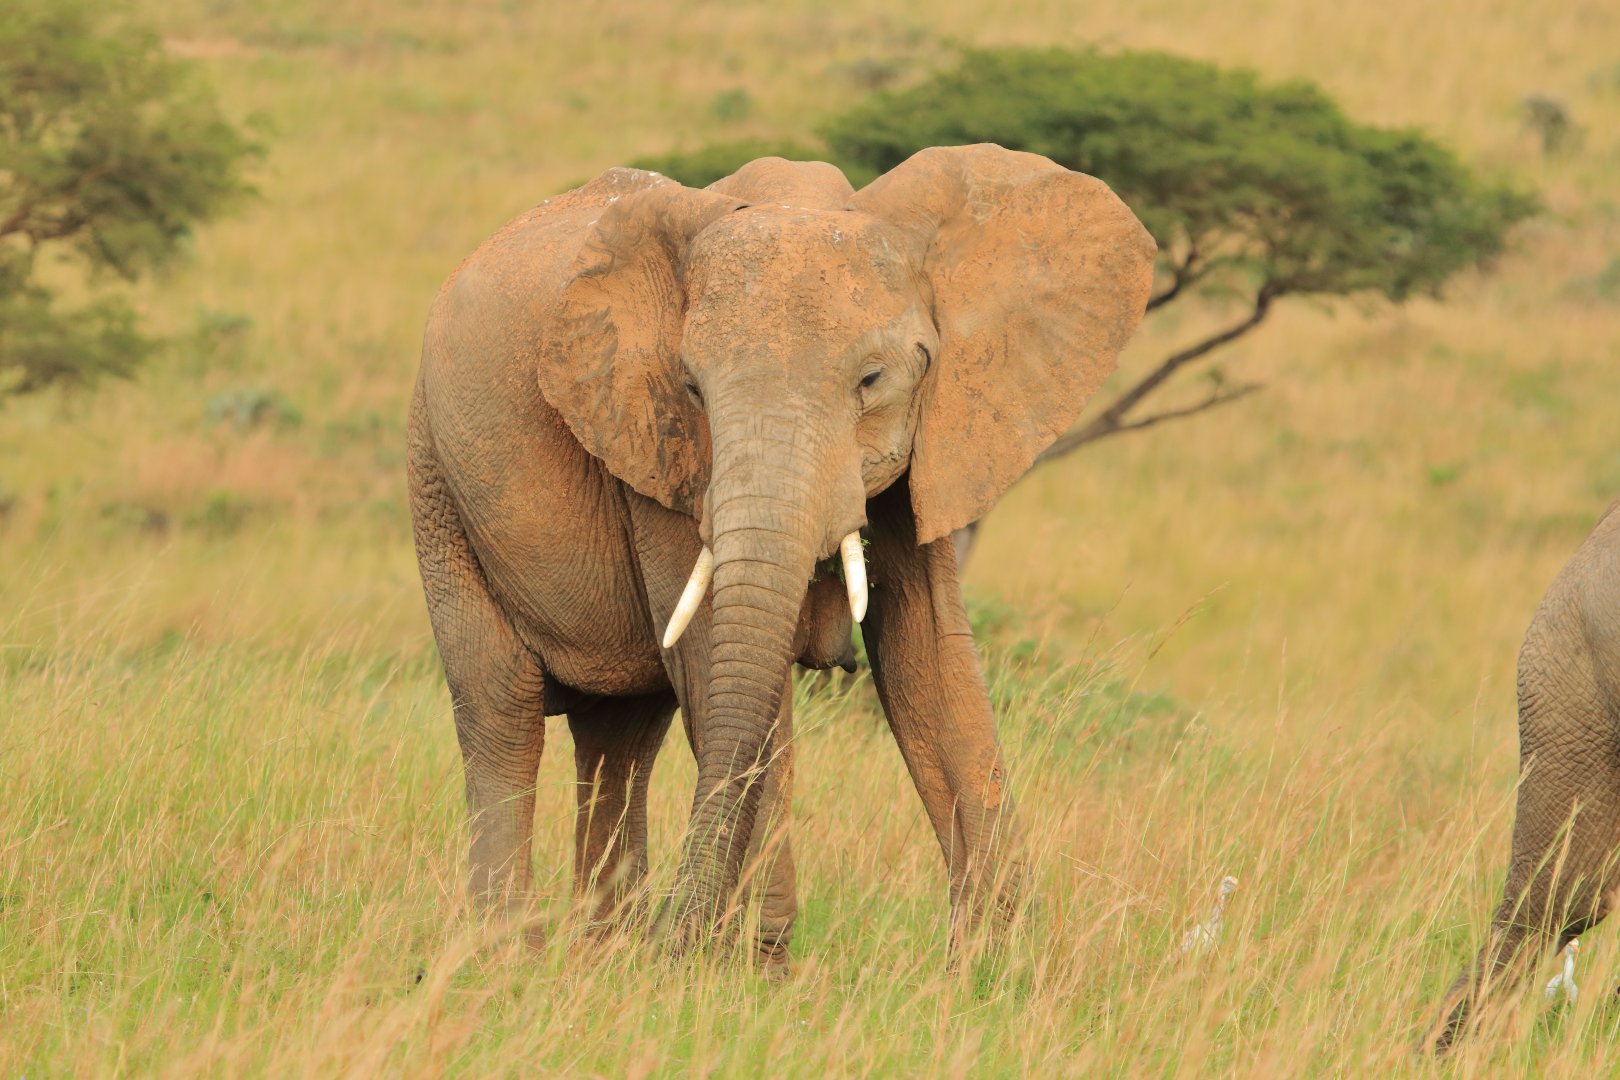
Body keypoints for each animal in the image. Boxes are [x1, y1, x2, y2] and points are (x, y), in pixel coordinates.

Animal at [405, 144, 1155, 970]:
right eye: (691, 388)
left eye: (872, 379)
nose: (681, 937)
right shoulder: (659, 450)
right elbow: (718, 663)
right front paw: (756, 971)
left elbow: (929, 657)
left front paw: (999, 968)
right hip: (436, 482)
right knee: (501, 712)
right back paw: (510, 962)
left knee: (619, 740)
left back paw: (607, 960)